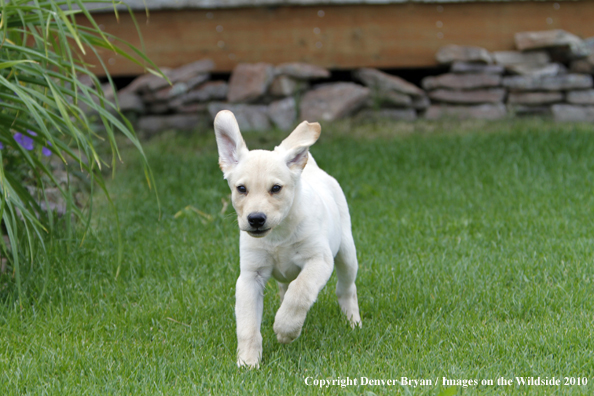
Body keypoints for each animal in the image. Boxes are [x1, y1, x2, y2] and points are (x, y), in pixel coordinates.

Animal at [214, 109, 360, 368]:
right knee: (286, 288)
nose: (256, 219)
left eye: (276, 188)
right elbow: (247, 324)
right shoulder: (250, 276)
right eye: (241, 189)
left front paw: (285, 329)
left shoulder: (319, 260)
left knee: (345, 288)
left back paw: (353, 321)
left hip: (346, 254)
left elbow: (300, 293)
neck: (278, 235)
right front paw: (248, 362)